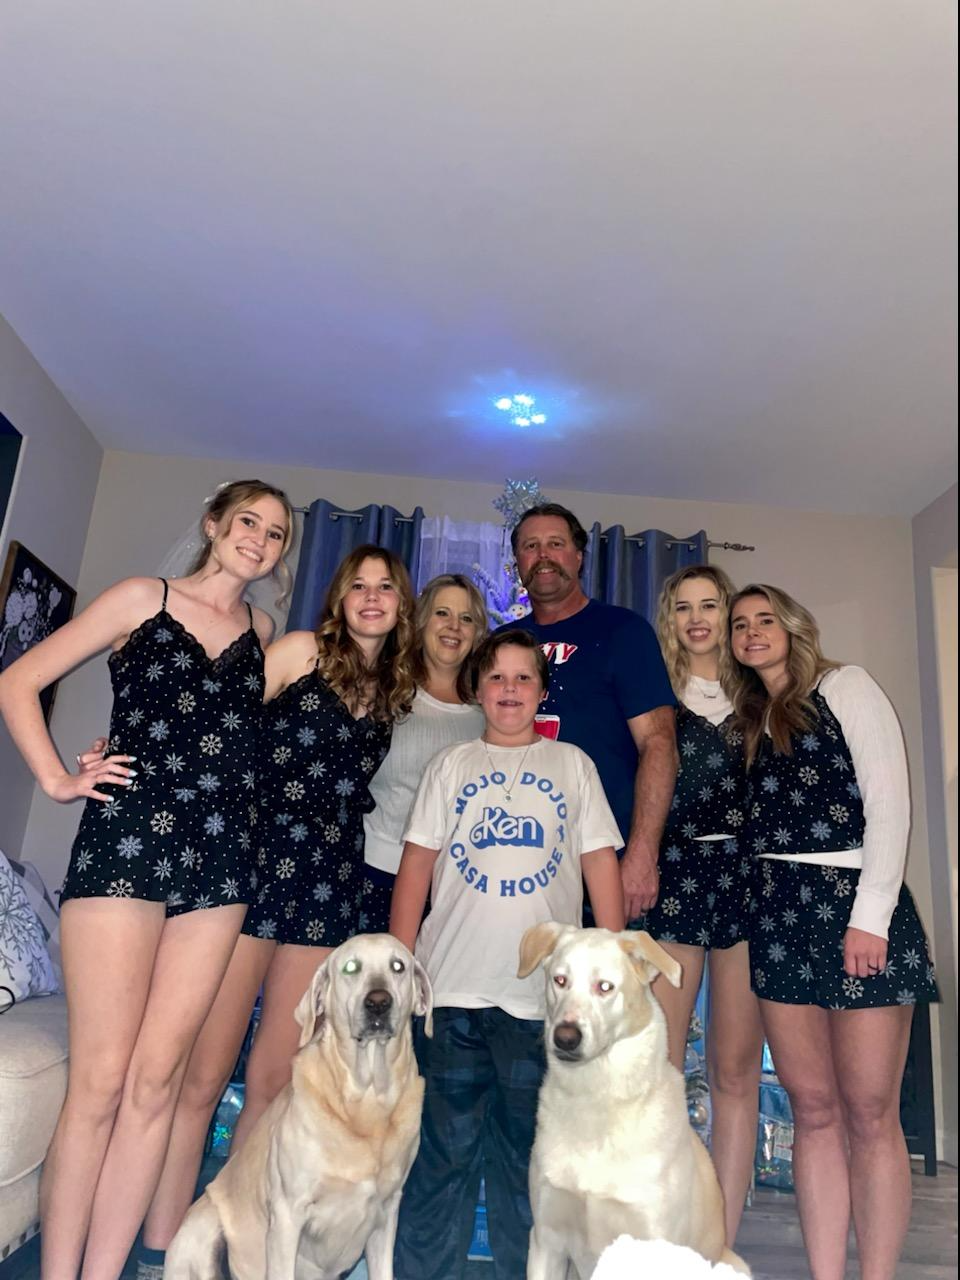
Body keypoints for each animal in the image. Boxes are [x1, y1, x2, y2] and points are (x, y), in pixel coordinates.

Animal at [167, 931, 435, 1280]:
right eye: (351, 967)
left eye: (398, 966)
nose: (378, 1002)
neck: (367, 1103)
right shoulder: (287, 1214)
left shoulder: (386, 1215)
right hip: (203, 1228)